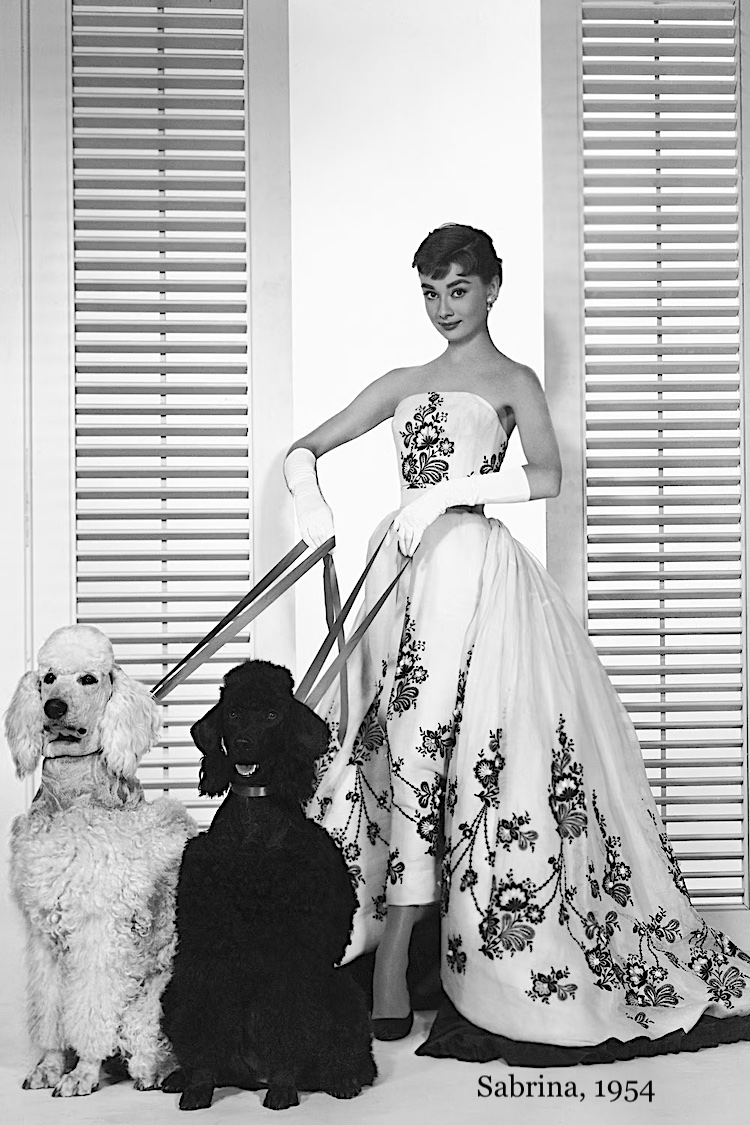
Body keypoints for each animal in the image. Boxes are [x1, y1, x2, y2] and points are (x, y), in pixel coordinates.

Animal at [4, 624, 198, 1097]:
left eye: (89, 679)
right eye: (48, 678)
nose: (53, 708)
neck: (74, 798)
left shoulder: (100, 929)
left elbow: (92, 1009)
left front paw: (82, 1073)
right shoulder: (45, 934)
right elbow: (51, 1010)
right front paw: (50, 1065)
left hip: (147, 1014)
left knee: (146, 1049)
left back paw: (157, 1073)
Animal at [160, 659, 377, 1111]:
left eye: (273, 715)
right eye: (234, 713)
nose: (243, 744)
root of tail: (249, 1077)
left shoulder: (290, 951)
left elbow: (287, 1024)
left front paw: (282, 1088)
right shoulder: (206, 950)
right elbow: (205, 1027)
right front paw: (197, 1087)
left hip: (340, 988)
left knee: (352, 1054)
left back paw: (342, 1078)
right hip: (173, 996)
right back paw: (180, 1075)